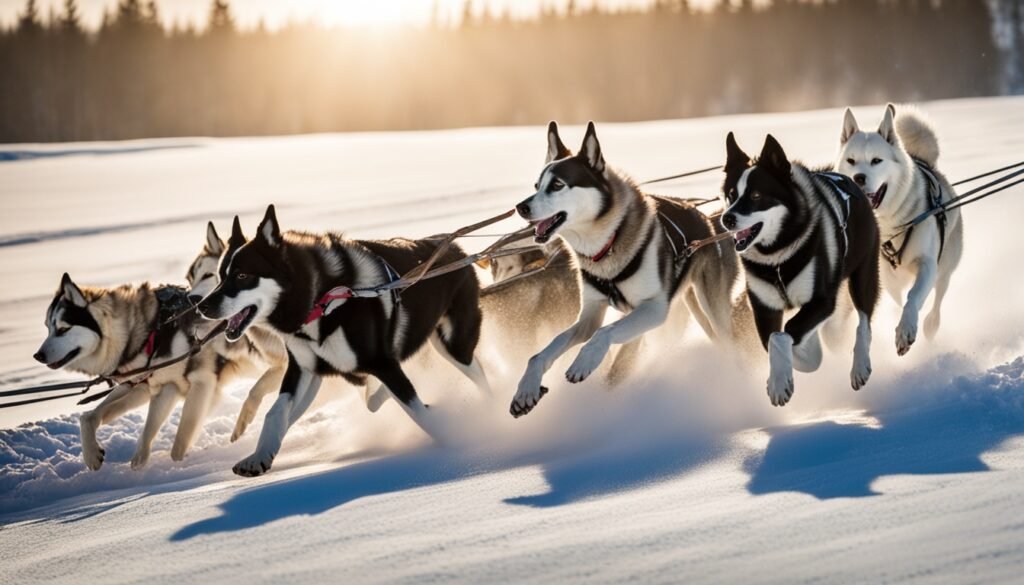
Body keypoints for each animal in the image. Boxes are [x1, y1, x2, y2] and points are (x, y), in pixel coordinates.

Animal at [197, 205, 493, 475]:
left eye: (242, 275)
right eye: (220, 276)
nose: (201, 306)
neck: (321, 301)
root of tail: (455, 248)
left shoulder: (382, 363)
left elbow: (418, 412)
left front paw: (454, 443)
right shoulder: (304, 368)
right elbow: (276, 413)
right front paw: (259, 455)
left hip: (455, 344)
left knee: (481, 379)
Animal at [512, 122, 745, 415]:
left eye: (557, 185)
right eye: (536, 186)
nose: (520, 207)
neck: (606, 245)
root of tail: (705, 217)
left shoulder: (653, 308)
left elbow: (603, 333)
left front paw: (584, 361)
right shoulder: (590, 315)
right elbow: (543, 351)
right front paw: (526, 387)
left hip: (711, 309)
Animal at [720, 133, 880, 407]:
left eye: (756, 195)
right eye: (731, 195)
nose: (727, 218)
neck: (776, 258)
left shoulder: (822, 301)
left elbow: (784, 334)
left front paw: (779, 382)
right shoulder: (764, 309)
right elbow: (774, 340)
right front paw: (788, 372)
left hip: (863, 273)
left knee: (864, 320)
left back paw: (860, 365)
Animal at [835, 102, 962, 354]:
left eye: (876, 160)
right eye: (851, 161)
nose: (858, 178)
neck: (892, 227)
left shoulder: (928, 264)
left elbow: (913, 297)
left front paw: (906, 329)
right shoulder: (884, 274)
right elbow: (897, 300)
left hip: (946, 266)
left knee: (938, 298)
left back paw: (930, 325)